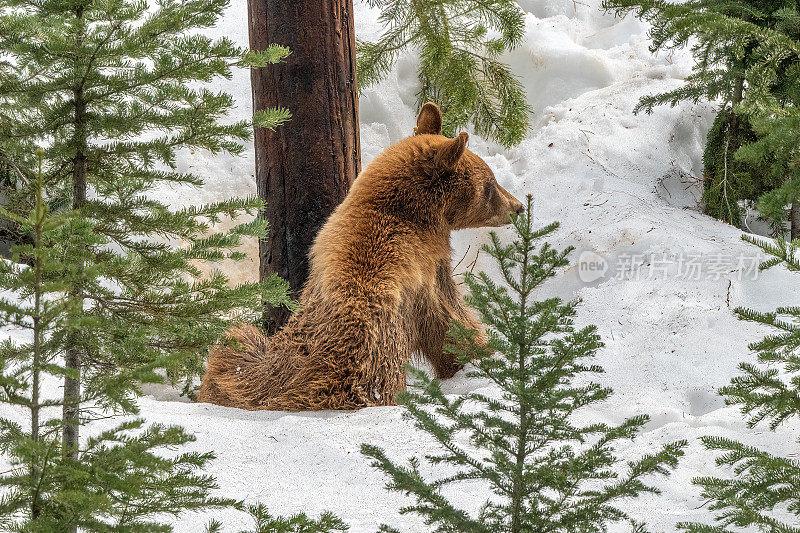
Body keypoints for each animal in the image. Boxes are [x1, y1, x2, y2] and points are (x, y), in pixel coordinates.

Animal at [198, 104, 524, 412]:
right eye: (491, 184)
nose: (518, 206)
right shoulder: (425, 277)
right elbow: (451, 322)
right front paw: (483, 356)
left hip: (250, 371)